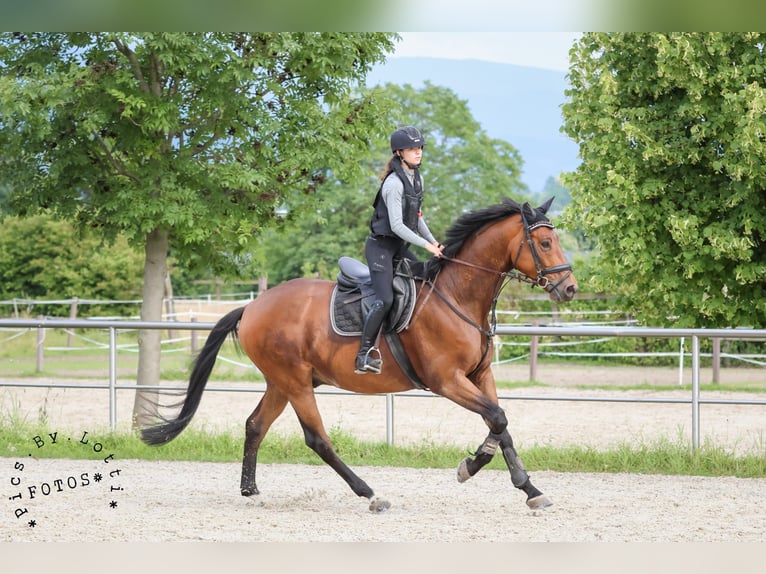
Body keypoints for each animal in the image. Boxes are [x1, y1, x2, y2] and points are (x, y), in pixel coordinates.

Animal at [141, 198, 580, 512]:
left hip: (282, 382)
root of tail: (252, 307)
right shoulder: (446, 381)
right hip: (296, 383)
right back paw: (370, 494)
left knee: (255, 425)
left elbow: (499, 424)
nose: (570, 289)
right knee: (317, 439)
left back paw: (251, 490)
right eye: (545, 243)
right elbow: (498, 418)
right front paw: (478, 469)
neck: (457, 296)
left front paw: (524, 486)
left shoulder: (480, 375)